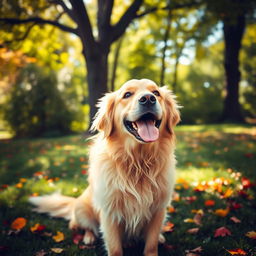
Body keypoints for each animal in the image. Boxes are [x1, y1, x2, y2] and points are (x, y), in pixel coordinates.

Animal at [29, 78, 180, 256]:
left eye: (156, 92)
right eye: (127, 94)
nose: (148, 99)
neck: (138, 161)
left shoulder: (158, 209)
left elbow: (151, 245)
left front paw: (155, 242)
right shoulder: (110, 213)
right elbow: (115, 248)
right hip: (81, 209)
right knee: (87, 227)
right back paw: (89, 237)